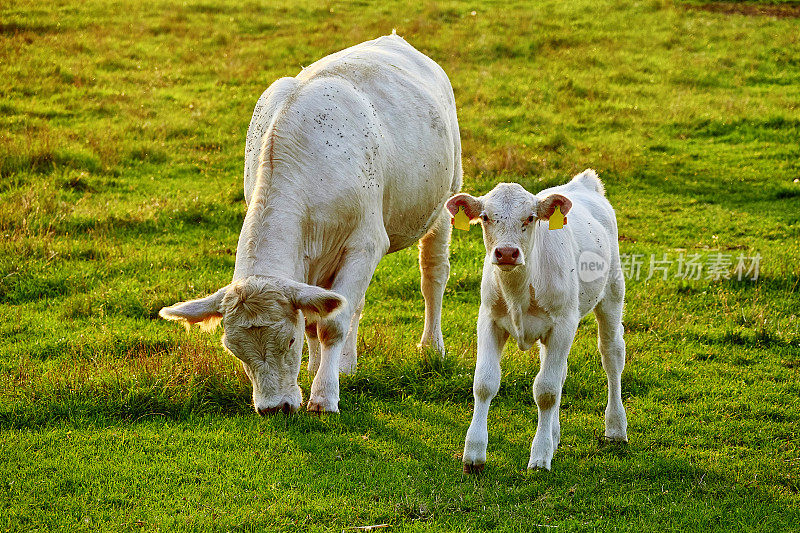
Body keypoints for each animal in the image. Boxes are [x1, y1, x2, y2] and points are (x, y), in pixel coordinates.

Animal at [161, 34, 462, 412]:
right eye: (234, 350)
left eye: (288, 342)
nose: (274, 408)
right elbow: (316, 317)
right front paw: (318, 371)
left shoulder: (365, 243)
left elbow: (330, 325)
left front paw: (323, 396)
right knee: (353, 303)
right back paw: (346, 365)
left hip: (446, 198)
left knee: (432, 275)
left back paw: (431, 347)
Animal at [446, 169, 628, 470]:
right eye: (485, 217)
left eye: (530, 217)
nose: (507, 253)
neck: (520, 289)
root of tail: (582, 183)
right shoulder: (489, 320)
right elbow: (484, 383)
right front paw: (473, 453)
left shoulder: (563, 325)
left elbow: (546, 391)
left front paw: (540, 456)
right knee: (560, 371)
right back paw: (554, 435)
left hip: (612, 293)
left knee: (611, 355)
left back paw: (615, 427)